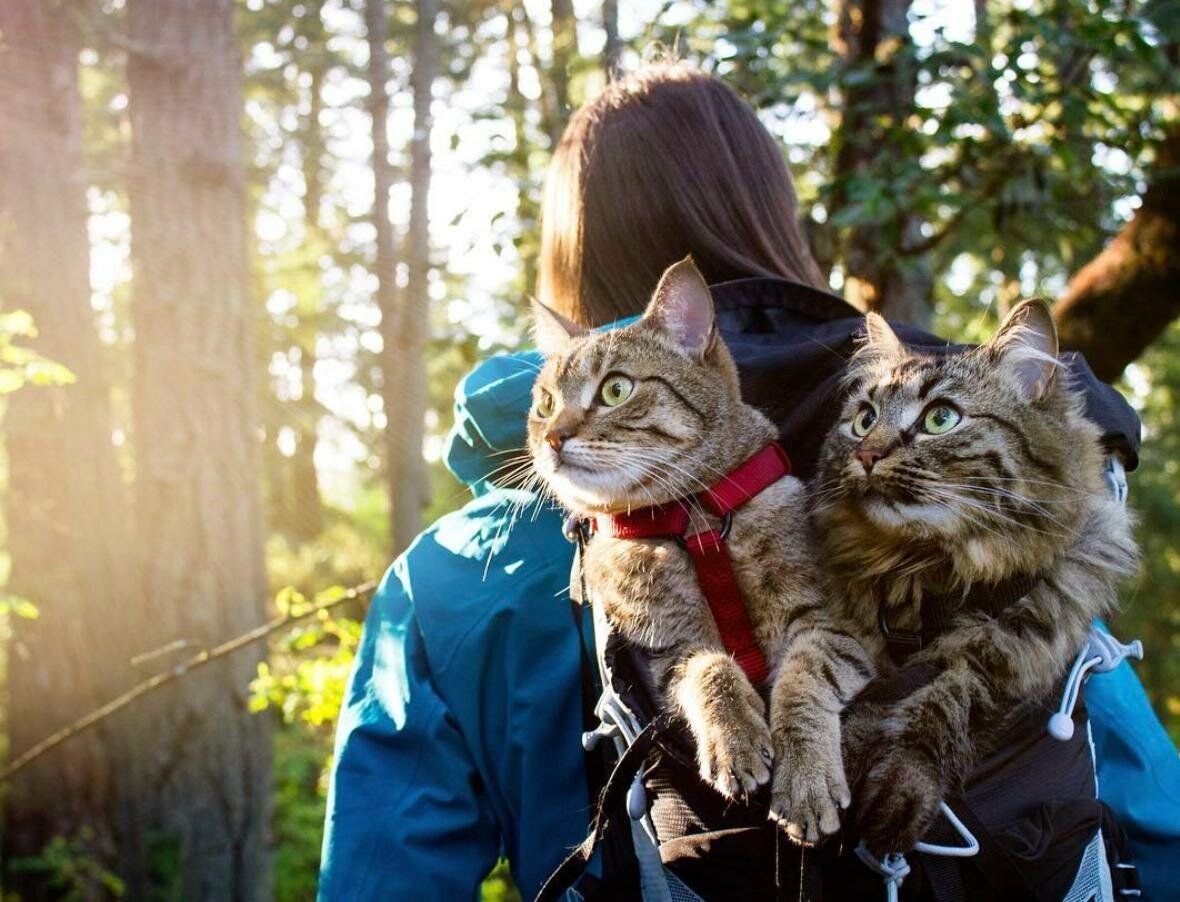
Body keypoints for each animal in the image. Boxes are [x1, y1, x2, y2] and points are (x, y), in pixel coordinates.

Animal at [528, 255, 877, 845]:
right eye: (546, 404)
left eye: (616, 389)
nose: (553, 436)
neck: (693, 519)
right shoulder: (665, 655)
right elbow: (709, 669)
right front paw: (733, 738)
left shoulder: (840, 625)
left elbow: (804, 680)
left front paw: (805, 776)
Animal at [816, 301, 1137, 854]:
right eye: (864, 420)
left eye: (940, 418)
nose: (866, 455)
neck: (925, 572)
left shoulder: (1016, 651)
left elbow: (949, 701)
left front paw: (901, 784)